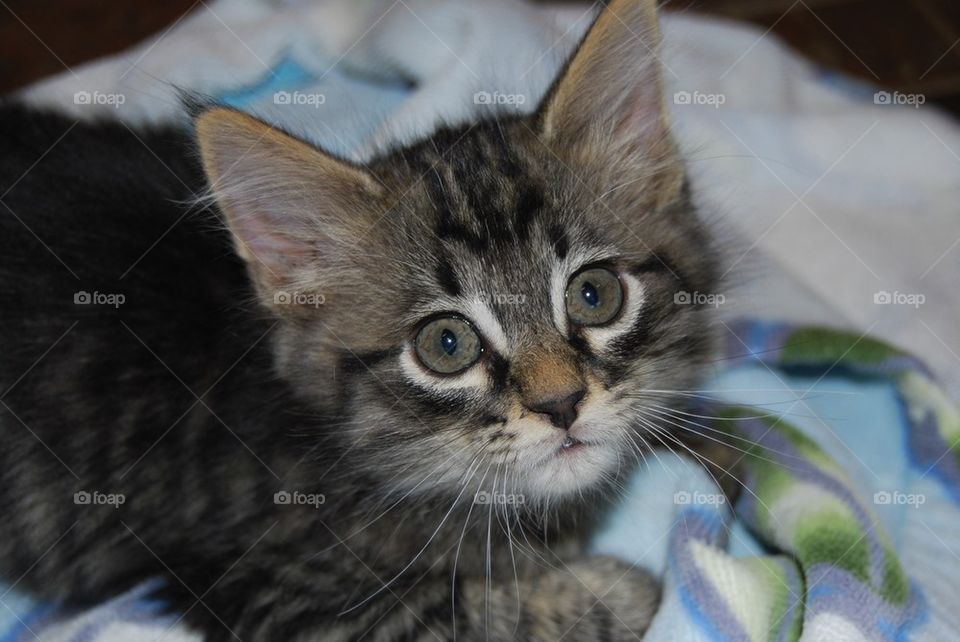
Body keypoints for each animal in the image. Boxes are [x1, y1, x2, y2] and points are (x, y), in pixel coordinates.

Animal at [0, 0, 720, 636]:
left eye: (593, 296)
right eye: (447, 344)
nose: (561, 403)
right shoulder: (262, 580)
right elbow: (474, 612)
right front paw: (628, 584)